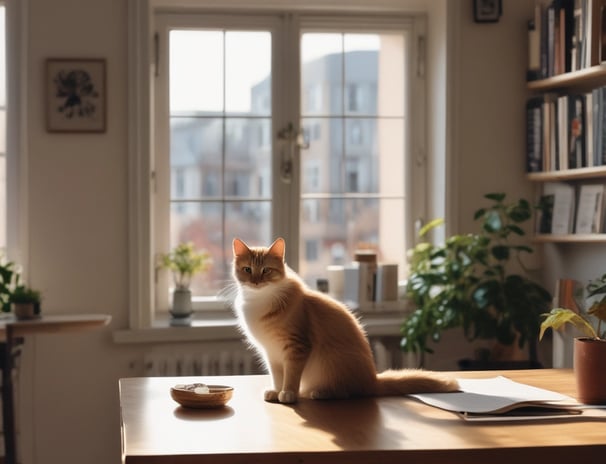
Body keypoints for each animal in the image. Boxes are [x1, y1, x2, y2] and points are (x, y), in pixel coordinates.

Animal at [233, 237, 460, 404]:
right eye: (247, 270)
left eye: (266, 270)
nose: (255, 281)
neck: (259, 301)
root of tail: (373, 380)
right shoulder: (272, 353)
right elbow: (278, 376)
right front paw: (276, 391)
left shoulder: (297, 348)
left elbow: (291, 377)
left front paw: (288, 394)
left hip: (332, 361)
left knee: (347, 392)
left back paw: (321, 393)